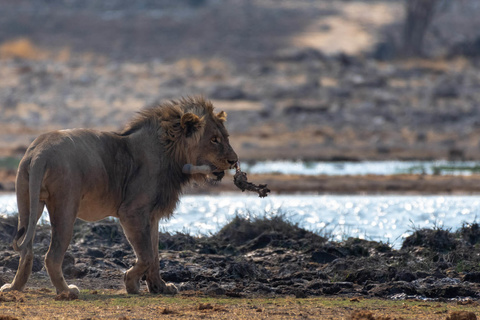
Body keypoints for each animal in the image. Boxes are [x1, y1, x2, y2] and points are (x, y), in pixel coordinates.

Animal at [0, 97, 238, 296]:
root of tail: (40, 151)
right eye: (214, 140)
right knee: (52, 256)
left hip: (26, 201)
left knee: (27, 250)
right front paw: (130, 283)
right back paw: (67, 291)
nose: (234, 161)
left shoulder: (151, 215)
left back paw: (13, 288)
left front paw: (160, 288)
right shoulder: (132, 212)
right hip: (65, 207)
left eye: (226, 138)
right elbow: (147, 255)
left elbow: (155, 255)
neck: (172, 150)